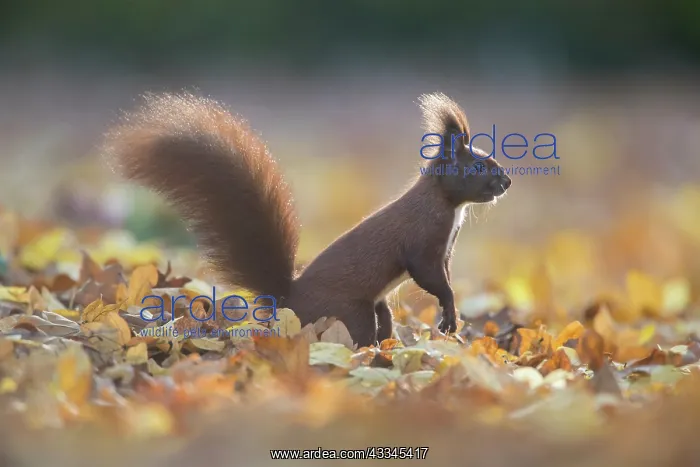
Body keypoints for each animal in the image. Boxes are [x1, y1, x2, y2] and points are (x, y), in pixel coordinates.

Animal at [102, 91, 511, 347]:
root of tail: (288, 302)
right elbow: (430, 277)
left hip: (372, 306)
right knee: (357, 335)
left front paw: (450, 317)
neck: (447, 203)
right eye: (479, 166)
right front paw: (449, 315)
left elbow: (443, 275)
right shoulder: (423, 240)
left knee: (383, 323)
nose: (506, 182)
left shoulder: (445, 249)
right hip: (350, 311)